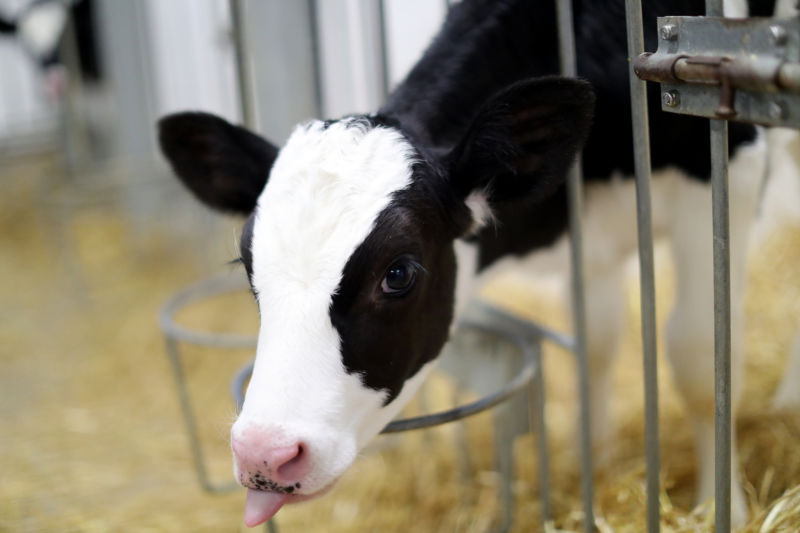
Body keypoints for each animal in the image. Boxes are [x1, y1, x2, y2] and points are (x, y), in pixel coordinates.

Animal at [158, 0, 800, 524]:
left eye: (398, 274)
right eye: (249, 267)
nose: (263, 454)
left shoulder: (724, 173)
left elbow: (700, 358)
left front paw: (721, 507)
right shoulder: (588, 231)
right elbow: (597, 341)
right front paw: (592, 463)